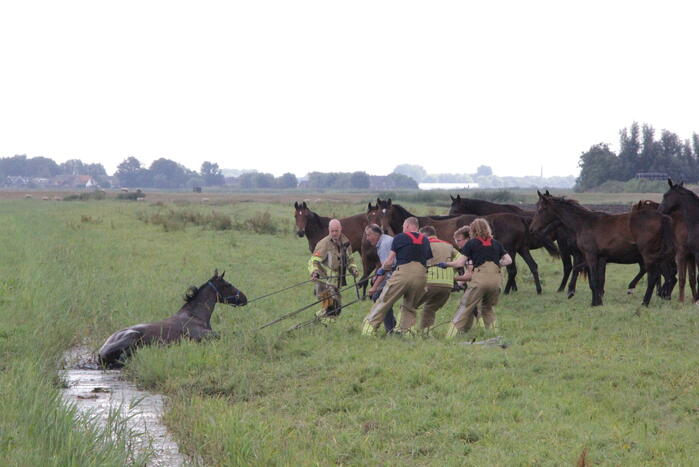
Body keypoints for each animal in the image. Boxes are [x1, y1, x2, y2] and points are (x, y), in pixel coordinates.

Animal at [97, 270, 247, 368]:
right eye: (228, 285)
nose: (244, 298)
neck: (195, 316)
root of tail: (100, 352)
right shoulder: (205, 337)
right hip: (132, 337)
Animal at [367, 198, 558, 294]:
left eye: (389, 212)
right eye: (377, 214)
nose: (383, 229)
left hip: (511, 250)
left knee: (512, 270)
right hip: (521, 249)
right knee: (532, 266)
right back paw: (537, 290)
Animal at [531, 192, 676, 306]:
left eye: (541, 209)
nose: (532, 229)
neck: (583, 223)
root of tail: (662, 217)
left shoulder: (590, 255)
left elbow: (594, 280)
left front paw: (593, 303)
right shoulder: (599, 257)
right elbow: (593, 278)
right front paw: (597, 300)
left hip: (648, 255)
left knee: (654, 276)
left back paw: (644, 302)